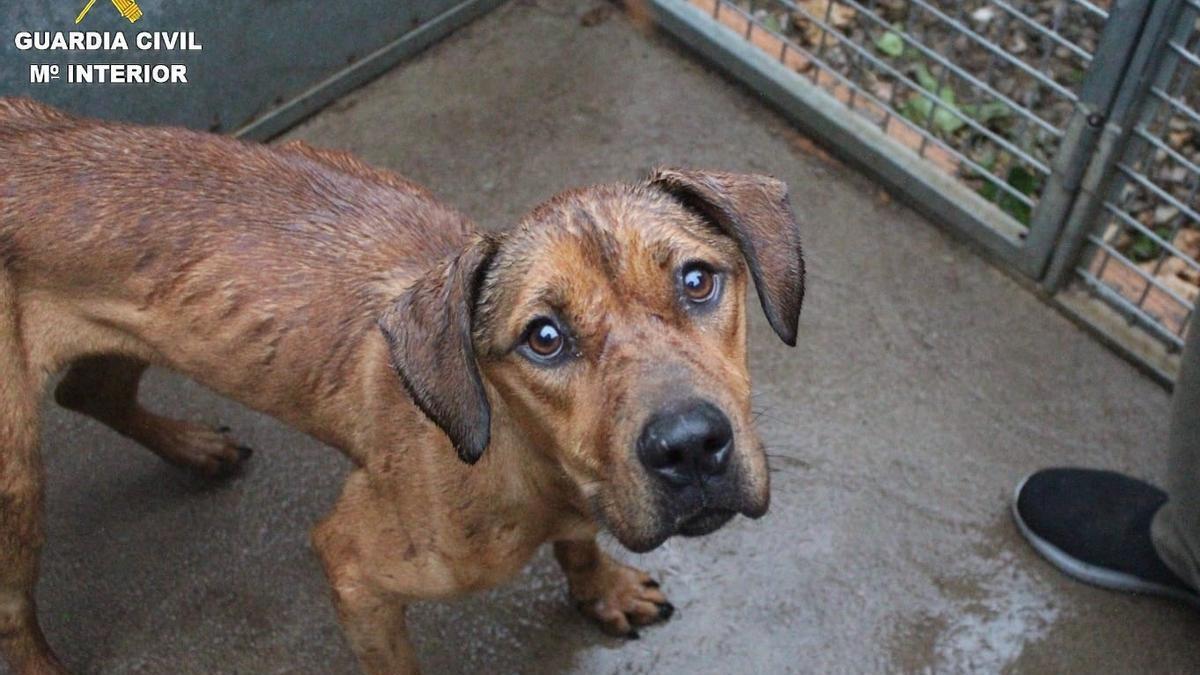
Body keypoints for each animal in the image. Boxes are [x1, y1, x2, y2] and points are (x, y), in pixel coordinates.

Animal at [0, 97, 806, 667]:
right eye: (544, 338)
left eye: (697, 280)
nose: (691, 446)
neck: (528, 464)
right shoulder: (354, 566)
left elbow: (578, 545)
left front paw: (600, 585)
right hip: (16, 485)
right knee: (16, 615)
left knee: (90, 391)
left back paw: (194, 447)